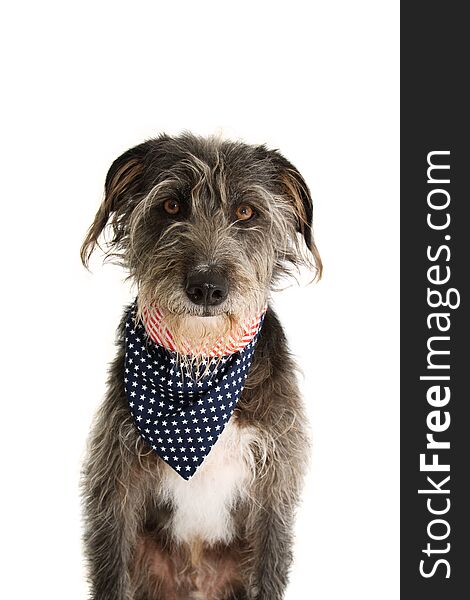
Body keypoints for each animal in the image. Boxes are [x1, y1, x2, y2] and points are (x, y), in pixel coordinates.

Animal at [81, 132, 324, 600]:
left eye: (246, 211)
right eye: (172, 205)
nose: (207, 287)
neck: (199, 366)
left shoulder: (275, 489)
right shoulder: (115, 484)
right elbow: (111, 569)